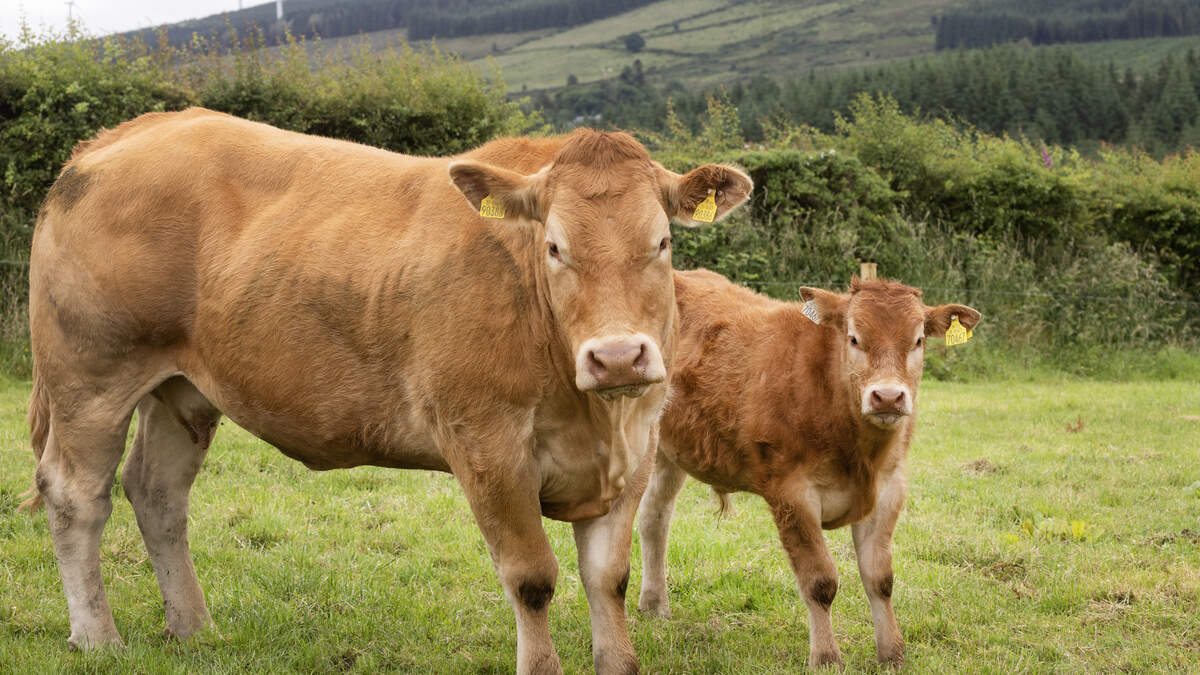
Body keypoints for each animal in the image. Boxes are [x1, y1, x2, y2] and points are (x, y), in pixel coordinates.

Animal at [24, 107, 753, 674]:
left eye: (662, 242)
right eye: (553, 247)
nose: (618, 356)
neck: (594, 416)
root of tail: (130, 131)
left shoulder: (636, 448)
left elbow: (609, 580)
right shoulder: (486, 445)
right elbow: (532, 579)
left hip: (182, 389)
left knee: (157, 492)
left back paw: (193, 626)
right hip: (91, 377)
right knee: (76, 495)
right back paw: (98, 637)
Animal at [636, 270, 981, 668]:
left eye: (918, 340)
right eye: (854, 338)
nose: (888, 397)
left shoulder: (889, 488)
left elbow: (880, 577)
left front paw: (892, 652)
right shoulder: (792, 494)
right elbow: (820, 581)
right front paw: (827, 656)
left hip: (669, 453)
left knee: (655, 518)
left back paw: (655, 605)